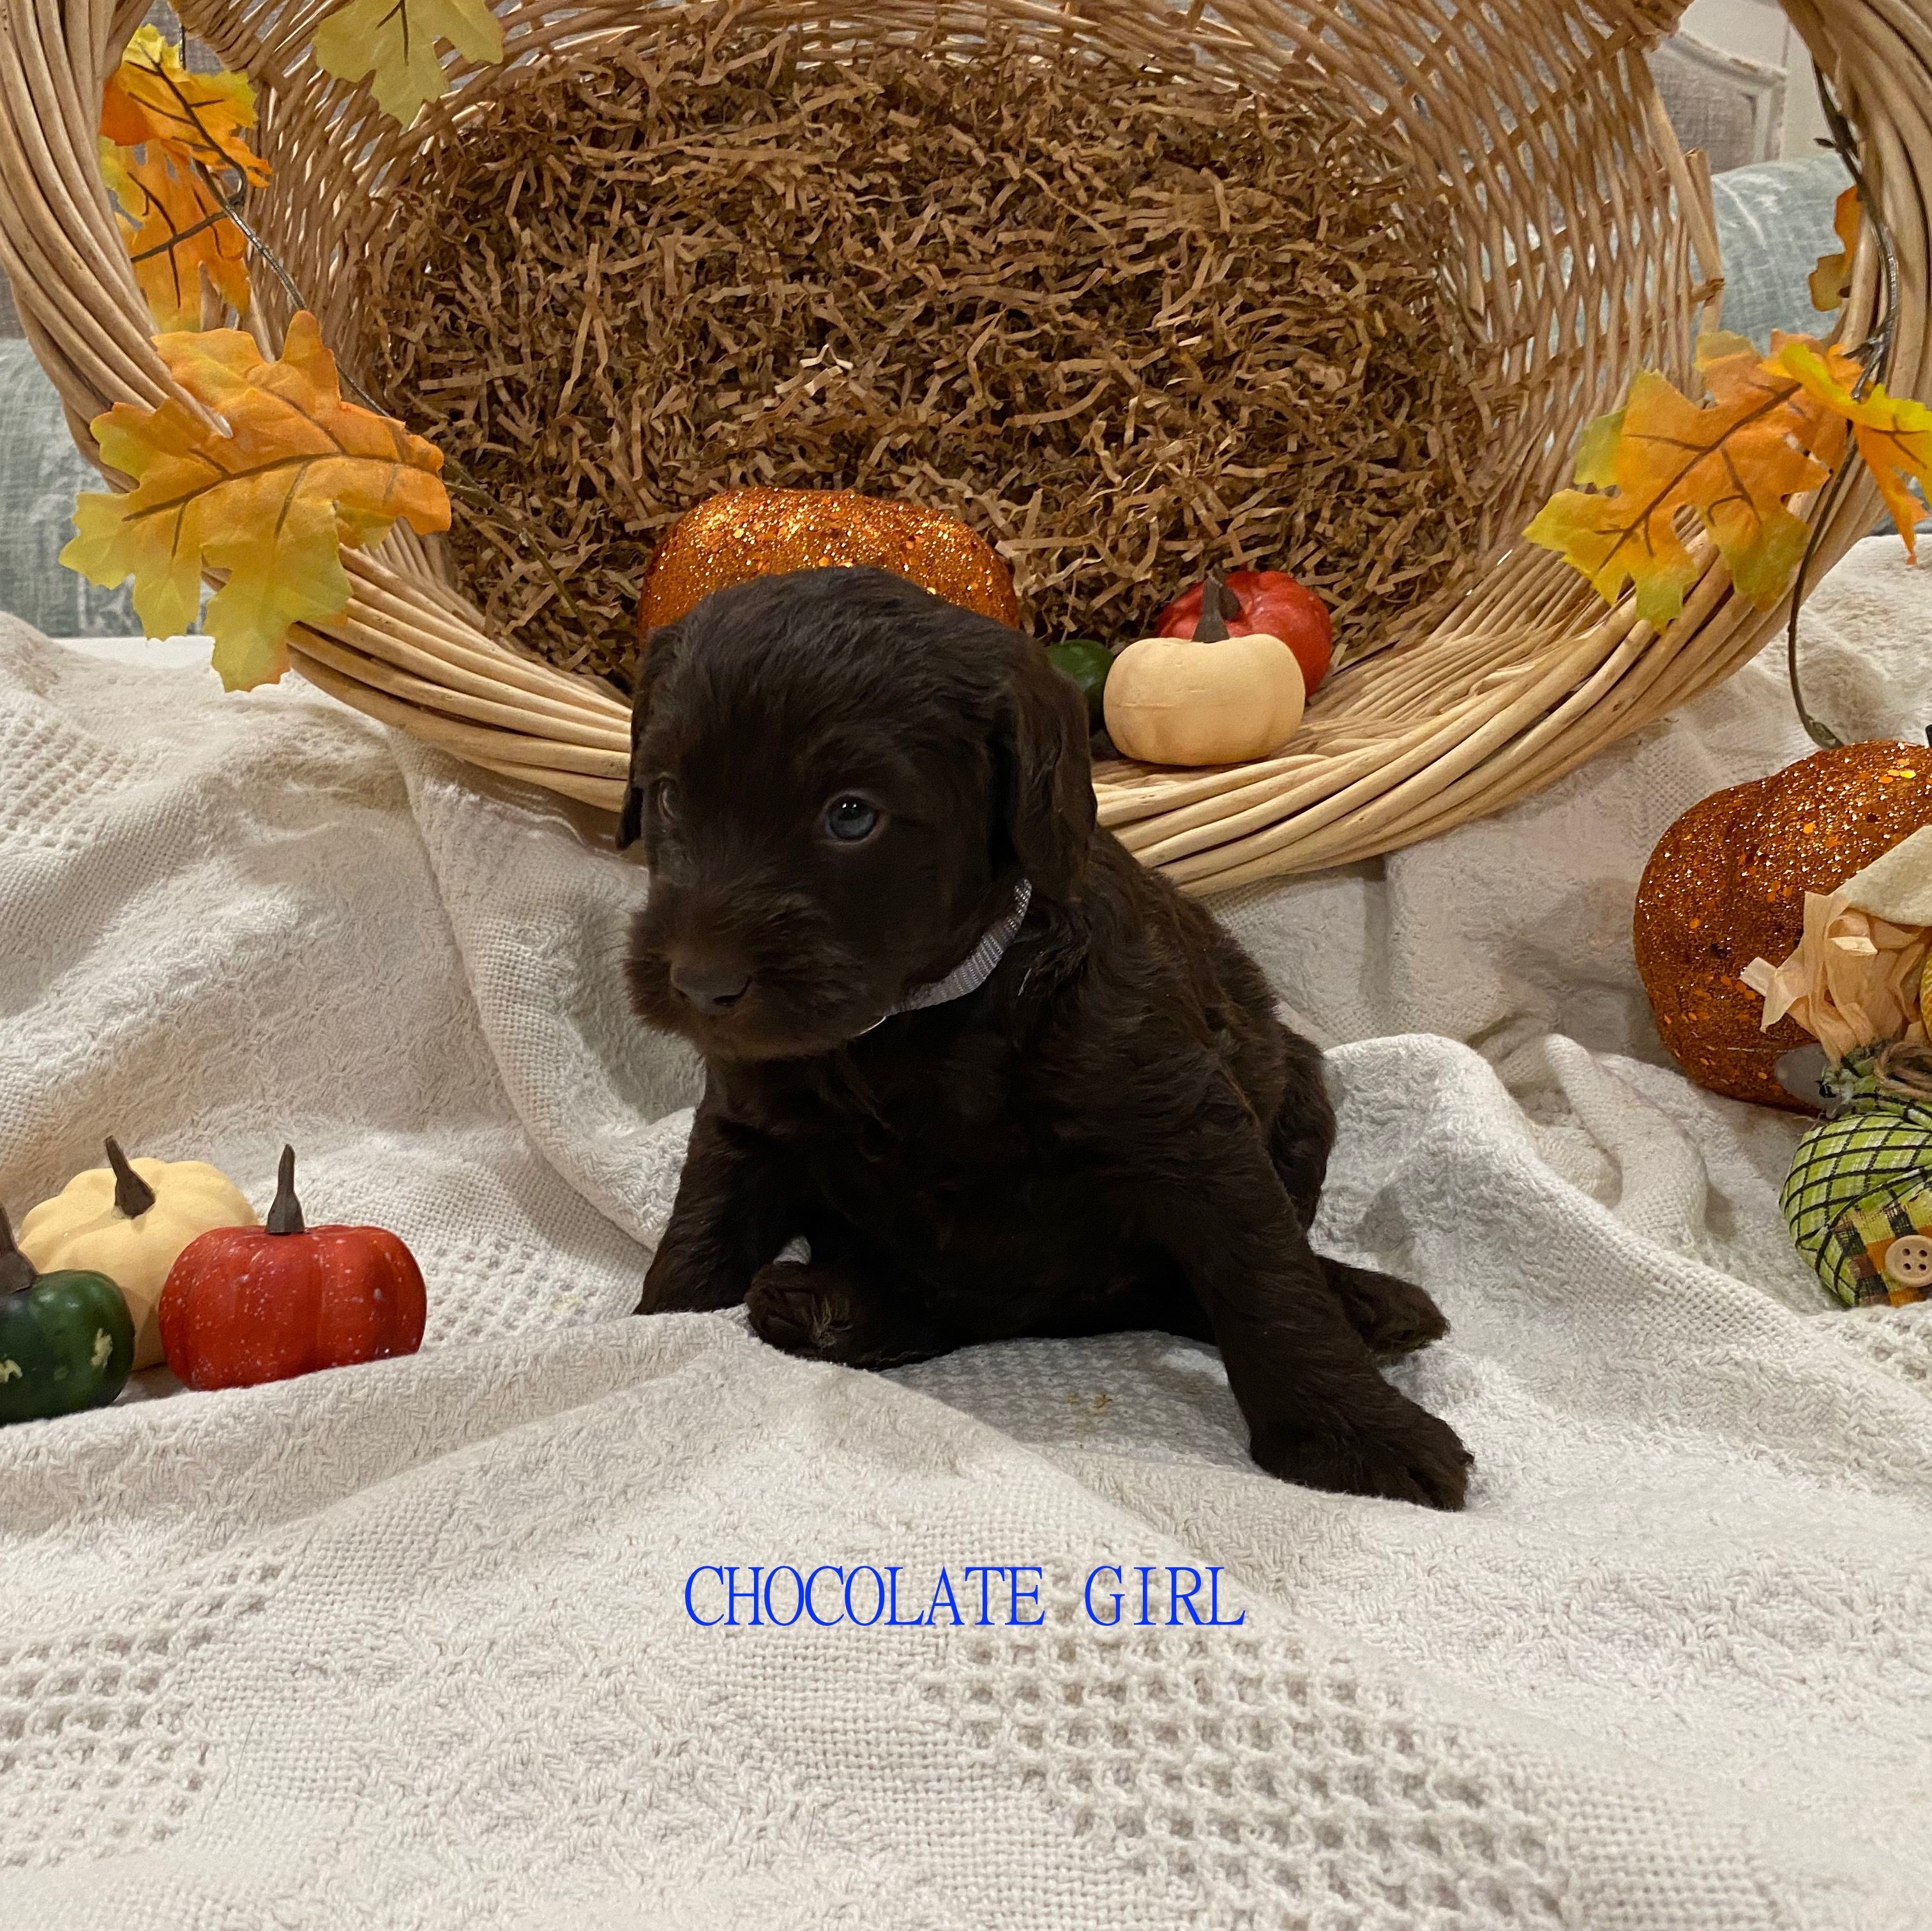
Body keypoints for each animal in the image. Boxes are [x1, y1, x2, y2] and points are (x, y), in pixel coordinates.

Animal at [619, 567, 1470, 1508]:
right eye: (667, 795)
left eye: (850, 817)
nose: (699, 985)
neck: (914, 1023)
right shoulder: (749, 1120)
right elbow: (701, 1235)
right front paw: (646, 1340)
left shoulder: (1189, 1128)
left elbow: (1266, 1279)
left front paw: (1355, 1434)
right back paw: (833, 1310)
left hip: (1302, 1095)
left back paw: (1367, 1304)